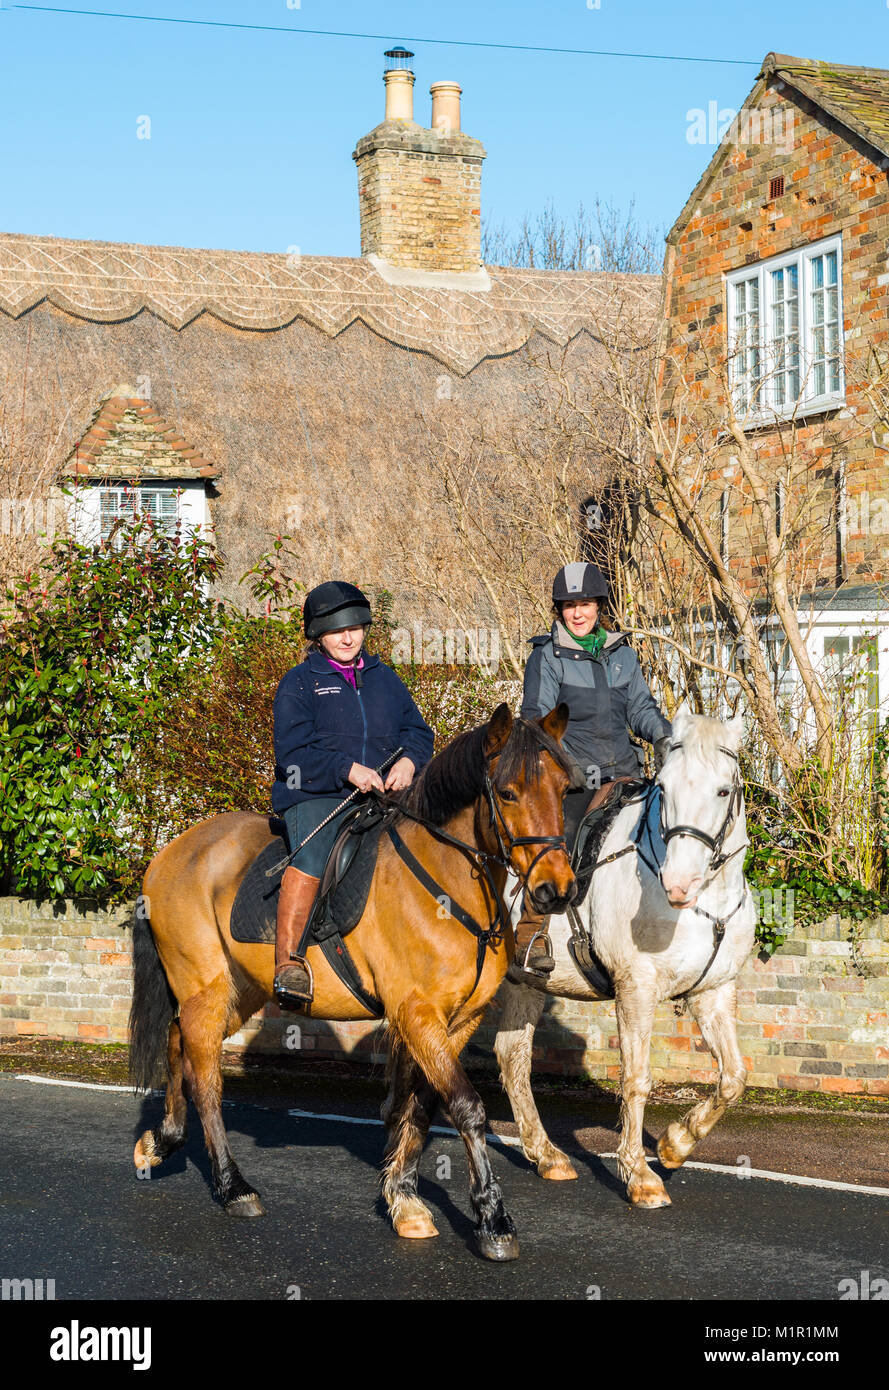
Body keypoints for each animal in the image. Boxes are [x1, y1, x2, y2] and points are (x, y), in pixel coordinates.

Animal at [131, 706, 577, 1262]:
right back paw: (234, 1187)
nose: (556, 890)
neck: (447, 886)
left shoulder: (456, 1022)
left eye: (564, 789)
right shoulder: (417, 1014)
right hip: (206, 987)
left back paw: (161, 1142)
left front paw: (404, 1200)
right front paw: (493, 1222)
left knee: (178, 1042)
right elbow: (466, 1107)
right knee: (206, 1077)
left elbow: (422, 1106)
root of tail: (170, 851)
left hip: (238, 988)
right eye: (509, 792)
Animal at [494, 706, 755, 1206]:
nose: (678, 884)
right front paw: (639, 1175)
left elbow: (733, 1077)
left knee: (512, 1056)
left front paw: (676, 1144)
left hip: (523, 982)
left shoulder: (714, 992)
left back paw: (546, 1156)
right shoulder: (636, 988)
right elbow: (636, 1079)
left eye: (722, 790)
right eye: (665, 788)